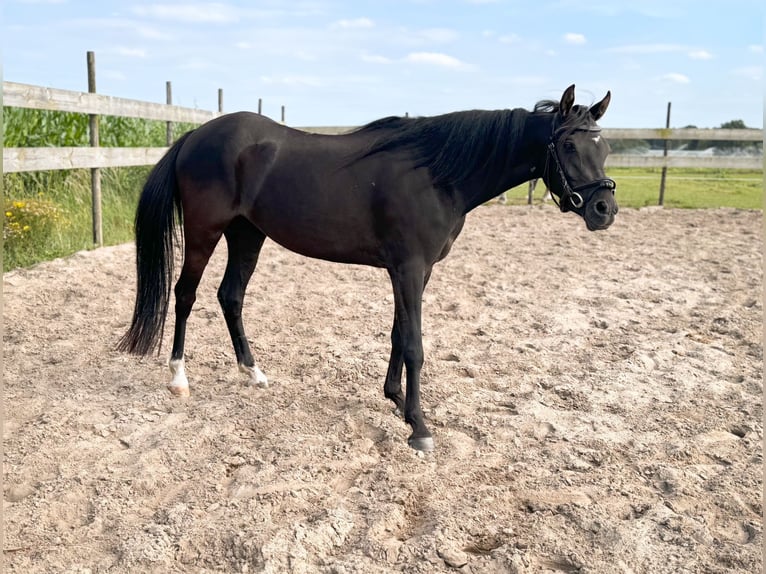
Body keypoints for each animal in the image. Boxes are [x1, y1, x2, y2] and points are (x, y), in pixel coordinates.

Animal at [117, 85, 616, 454]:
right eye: (568, 144)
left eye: (605, 147)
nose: (604, 209)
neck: (437, 175)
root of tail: (193, 136)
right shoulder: (409, 268)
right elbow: (414, 344)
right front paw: (419, 427)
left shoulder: (414, 271)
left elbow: (398, 334)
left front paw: (396, 401)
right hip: (206, 231)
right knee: (186, 295)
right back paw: (179, 379)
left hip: (247, 235)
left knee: (230, 296)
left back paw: (253, 373)